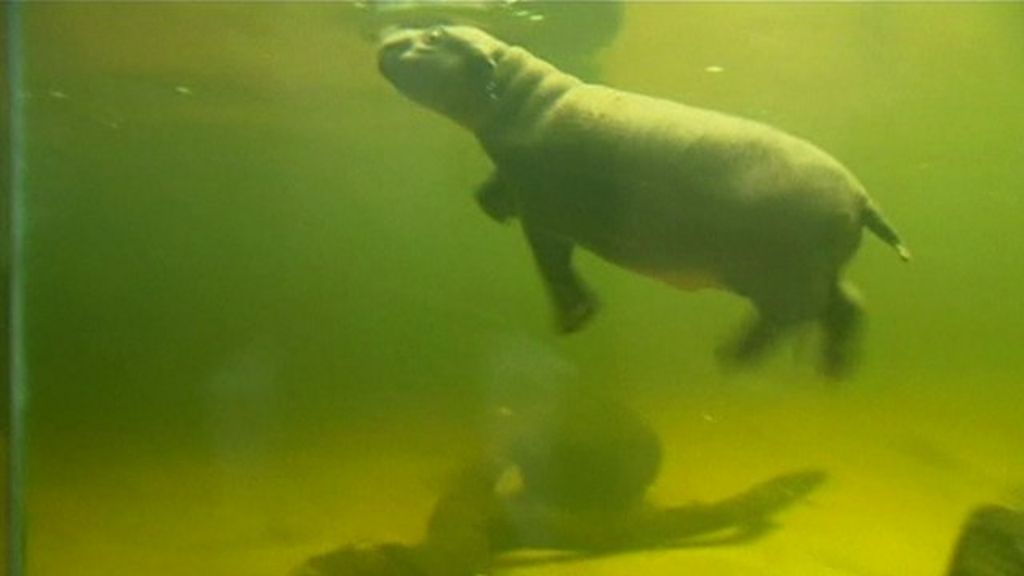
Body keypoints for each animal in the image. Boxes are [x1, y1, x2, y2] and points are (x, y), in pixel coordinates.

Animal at [377, 25, 910, 377]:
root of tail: (862, 197)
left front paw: (576, 317)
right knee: (847, 303)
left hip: (779, 274)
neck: (517, 93)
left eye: (435, 36)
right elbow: (503, 197)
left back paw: (731, 358)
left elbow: (553, 265)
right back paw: (831, 369)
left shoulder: (541, 208)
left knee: (796, 314)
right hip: (807, 270)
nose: (388, 36)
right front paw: (489, 202)